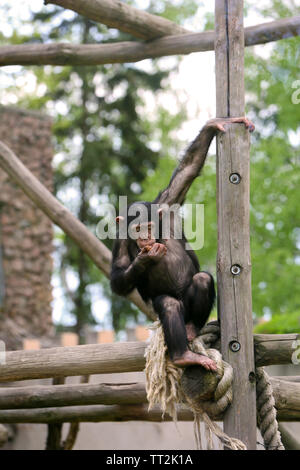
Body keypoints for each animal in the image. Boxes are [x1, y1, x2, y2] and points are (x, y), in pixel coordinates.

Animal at [110, 115, 253, 370]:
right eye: (136, 228)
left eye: (148, 226)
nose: (145, 238)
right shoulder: (119, 242)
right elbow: (118, 277)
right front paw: (143, 261)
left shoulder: (167, 204)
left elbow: (187, 170)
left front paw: (212, 125)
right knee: (168, 304)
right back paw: (183, 355)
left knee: (202, 279)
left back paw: (191, 329)